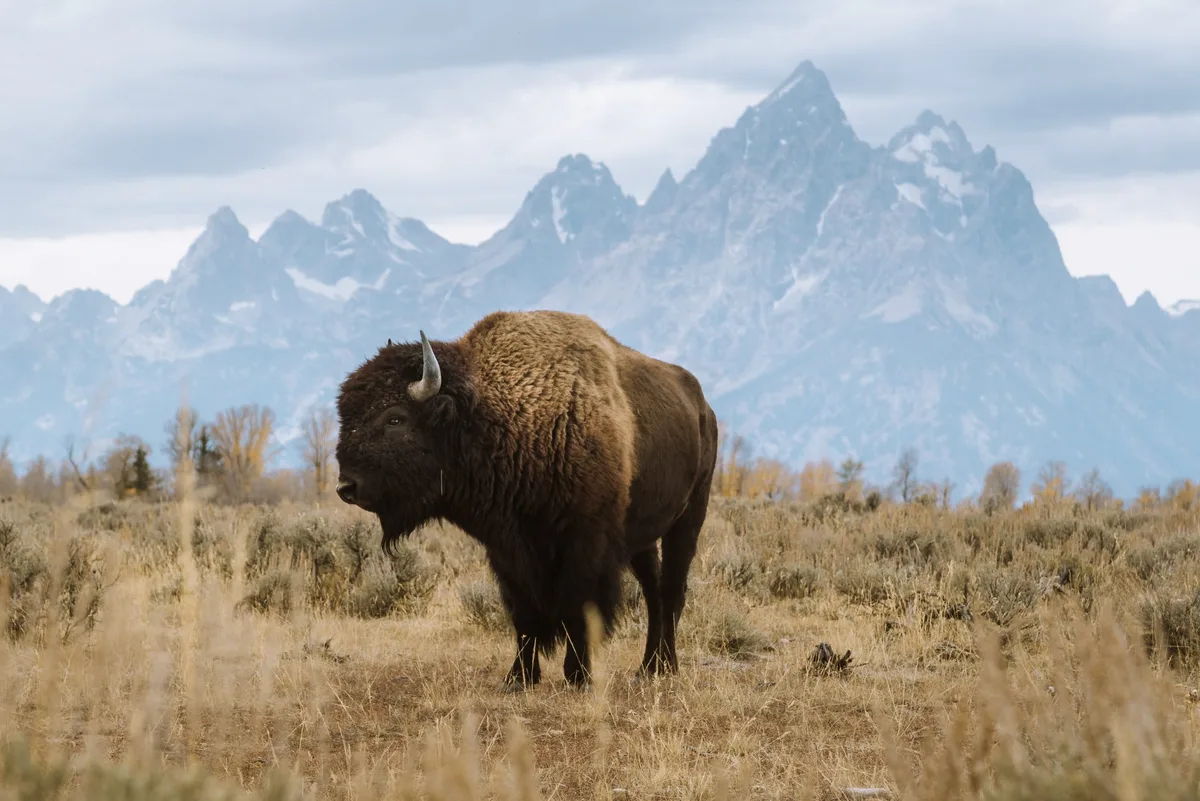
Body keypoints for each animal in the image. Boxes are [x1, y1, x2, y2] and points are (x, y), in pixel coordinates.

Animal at [333, 309, 719, 691]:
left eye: (395, 418)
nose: (346, 486)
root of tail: (704, 407)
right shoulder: (507, 549)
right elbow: (524, 615)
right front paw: (518, 677)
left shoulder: (586, 543)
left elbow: (579, 606)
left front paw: (578, 675)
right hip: (642, 538)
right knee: (654, 592)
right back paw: (649, 668)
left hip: (688, 519)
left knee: (671, 590)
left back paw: (663, 666)